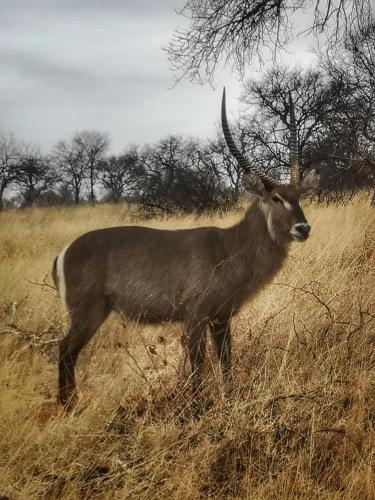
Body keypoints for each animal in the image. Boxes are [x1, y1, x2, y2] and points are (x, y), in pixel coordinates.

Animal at [53, 89, 320, 410]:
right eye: (276, 197)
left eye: (299, 196)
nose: (303, 228)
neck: (229, 247)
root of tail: (64, 251)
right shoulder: (195, 316)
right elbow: (198, 363)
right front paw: (196, 406)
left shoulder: (221, 317)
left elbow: (226, 360)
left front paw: (229, 400)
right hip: (87, 311)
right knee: (65, 350)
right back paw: (68, 407)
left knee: (68, 352)